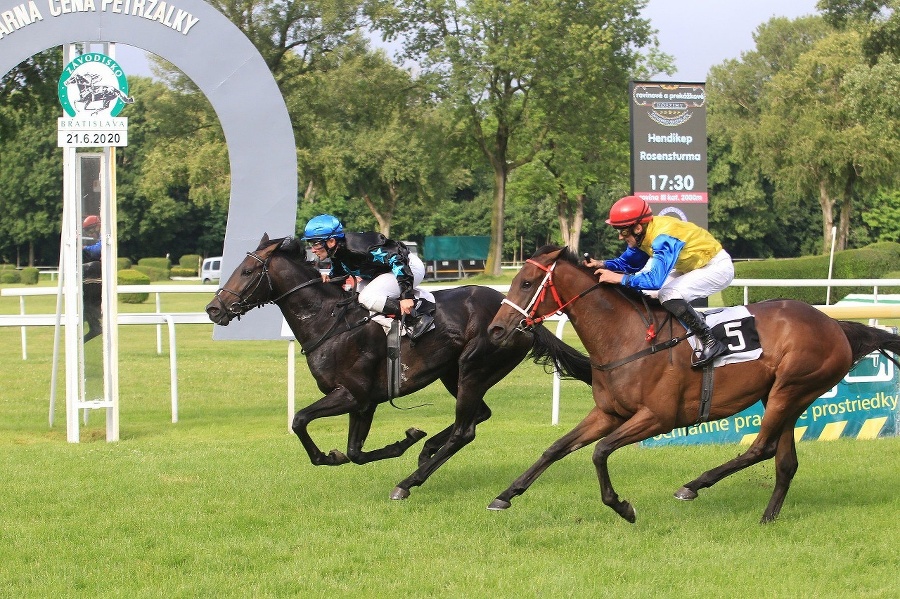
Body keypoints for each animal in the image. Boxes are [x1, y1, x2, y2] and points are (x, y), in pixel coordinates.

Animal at [203, 237, 592, 500]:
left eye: (247, 271)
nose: (213, 309)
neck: (329, 320)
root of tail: (522, 317)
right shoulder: (364, 403)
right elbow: (355, 453)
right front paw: (403, 441)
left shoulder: (353, 395)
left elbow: (300, 420)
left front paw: (330, 455)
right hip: (454, 373)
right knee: (478, 415)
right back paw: (426, 451)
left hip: (473, 368)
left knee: (465, 430)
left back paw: (409, 482)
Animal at [488, 246, 900, 524]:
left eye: (527, 282)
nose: (495, 330)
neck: (627, 337)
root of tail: (835, 325)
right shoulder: (609, 412)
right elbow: (555, 448)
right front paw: (505, 495)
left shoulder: (658, 417)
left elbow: (600, 452)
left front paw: (623, 507)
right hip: (787, 396)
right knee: (785, 461)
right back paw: (767, 517)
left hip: (791, 389)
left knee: (761, 448)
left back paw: (693, 485)